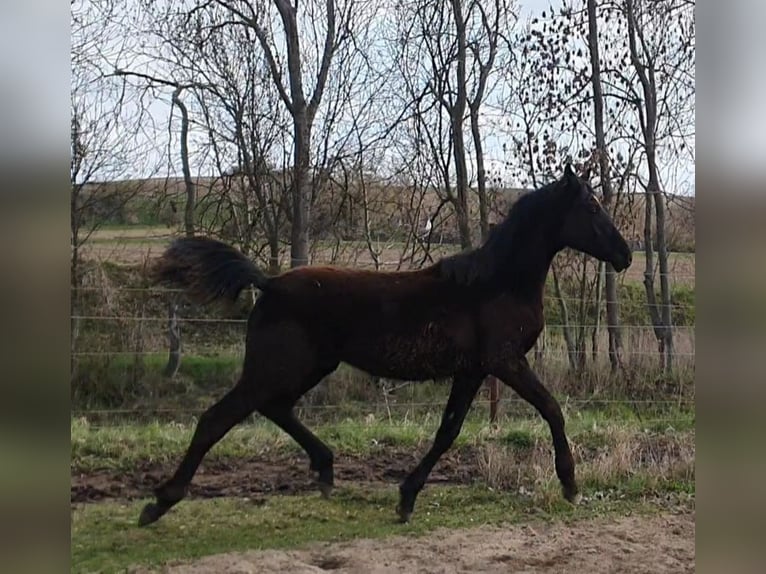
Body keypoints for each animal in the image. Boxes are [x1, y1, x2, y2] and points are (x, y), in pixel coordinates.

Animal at [137, 164, 632, 527]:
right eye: (591, 206)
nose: (626, 255)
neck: (498, 283)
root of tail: (269, 283)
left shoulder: (472, 370)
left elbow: (448, 430)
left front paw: (407, 497)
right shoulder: (504, 361)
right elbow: (551, 408)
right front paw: (569, 484)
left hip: (311, 366)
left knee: (275, 408)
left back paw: (325, 468)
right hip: (277, 367)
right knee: (218, 417)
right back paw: (160, 502)